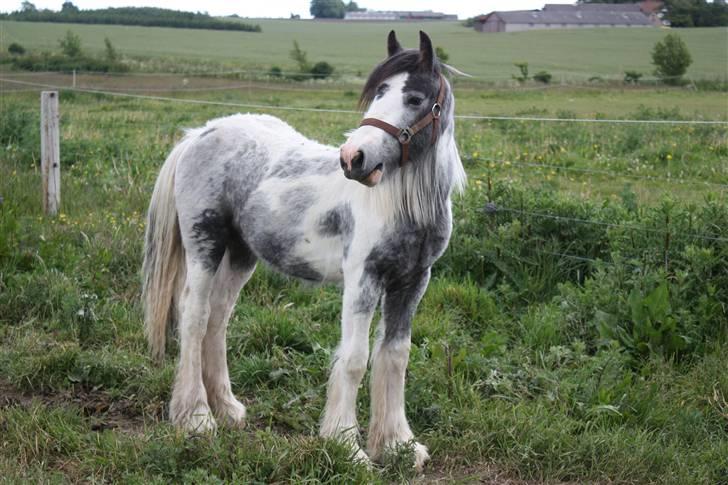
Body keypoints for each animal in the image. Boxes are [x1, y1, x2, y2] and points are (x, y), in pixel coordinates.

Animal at [139, 31, 464, 468]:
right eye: (378, 92)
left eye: (414, 98)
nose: (353, 158)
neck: (401, 205)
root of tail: (201, 133)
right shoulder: (362, 281)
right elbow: (355, 359)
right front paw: (347, 446)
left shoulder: (411, 283)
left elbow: (395, 356)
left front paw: (399, 444)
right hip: (204, 242)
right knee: (194, 315)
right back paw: (196, 418)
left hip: (241, 254)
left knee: (219, 318)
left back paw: (227, 408)